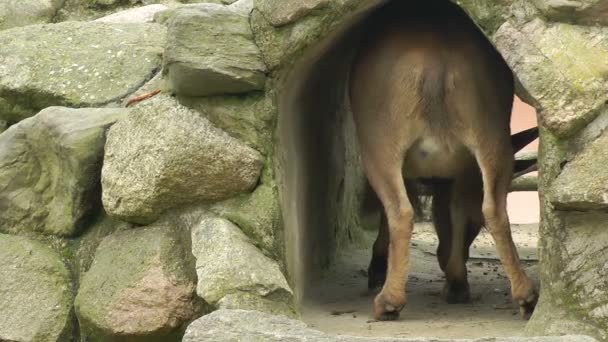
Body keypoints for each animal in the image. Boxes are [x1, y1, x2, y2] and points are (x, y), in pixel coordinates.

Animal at [350, 0, 540, 320]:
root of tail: (438, 64)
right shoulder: (460, 173)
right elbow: (457, 210)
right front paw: (456, 279)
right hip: (490, 140)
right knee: (494, 208)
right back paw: (522, 296)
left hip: (381, 147)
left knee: (400, 211)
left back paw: (388, 301)